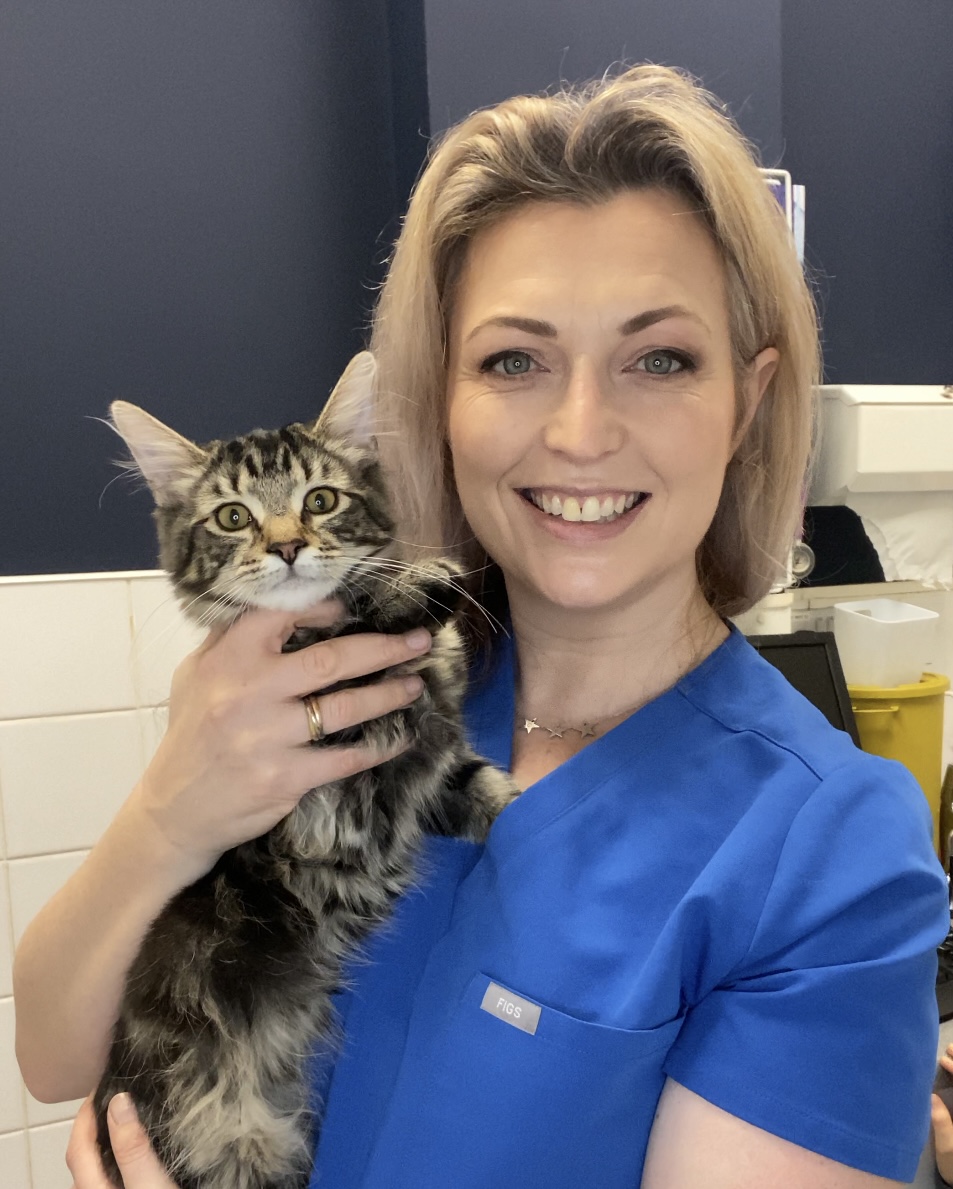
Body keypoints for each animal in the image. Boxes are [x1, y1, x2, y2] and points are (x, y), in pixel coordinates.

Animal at [93, 351, 519, 1189]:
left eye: (319, 500)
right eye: (232, 517)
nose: (288, 546)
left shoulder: (429, 773)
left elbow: (486, 787)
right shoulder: (331, 763)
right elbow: (369, 633)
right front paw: (423, 585)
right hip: (223, 1143)